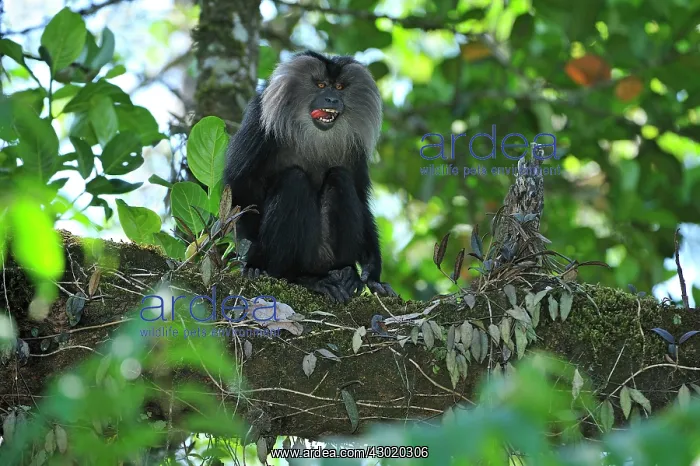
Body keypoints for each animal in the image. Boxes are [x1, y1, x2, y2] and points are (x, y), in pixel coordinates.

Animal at [223, 50, 396, 304]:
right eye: (321, 85)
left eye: (339, 87)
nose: (332, 99)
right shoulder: (259, 120)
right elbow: (240, 188)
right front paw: (253, 263)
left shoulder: (354, 146)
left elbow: (360, 196)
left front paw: (372, 273)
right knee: (294, 180)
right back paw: (301, 278)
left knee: (340, 178)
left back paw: (345, 275)